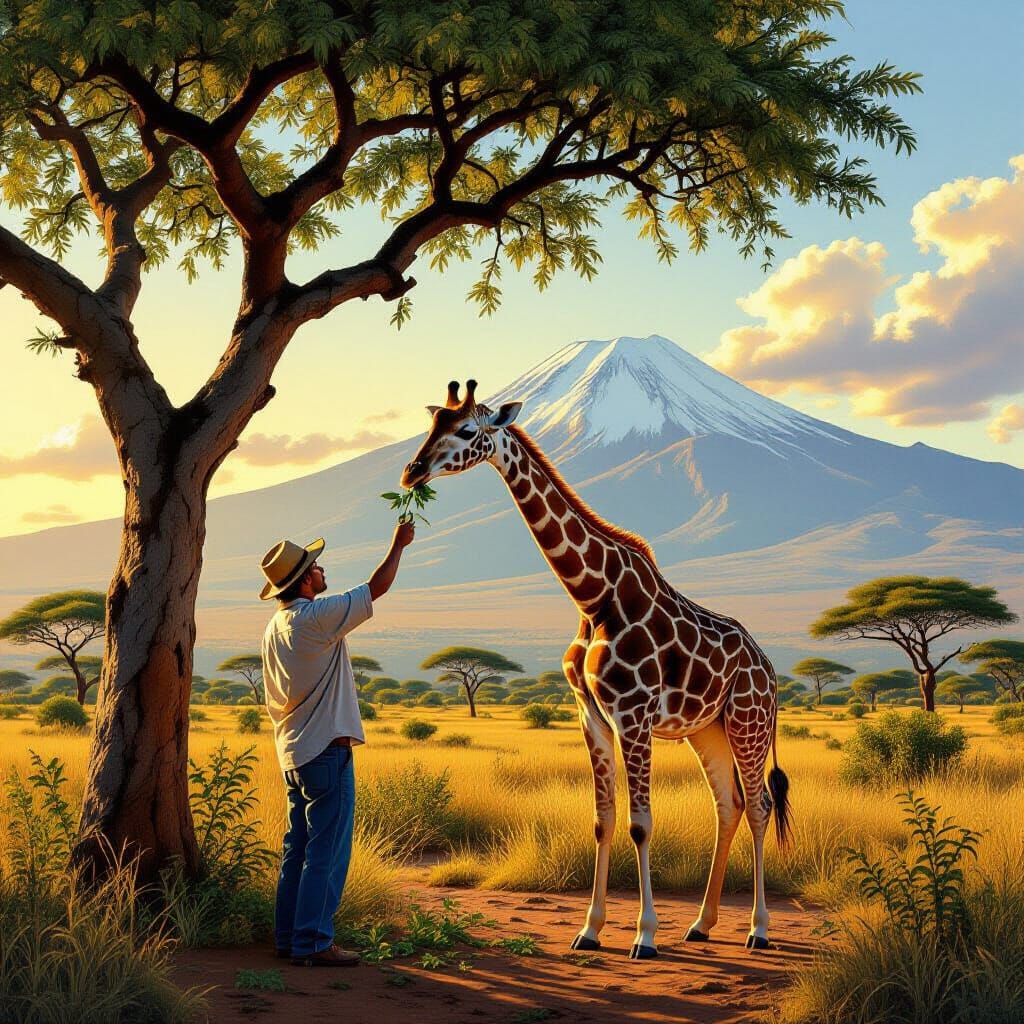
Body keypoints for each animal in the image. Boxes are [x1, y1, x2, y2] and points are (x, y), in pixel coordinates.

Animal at [401, 380, 791, 958]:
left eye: (468, 430)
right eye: (431, 426)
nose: (412, 471)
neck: (594, 598)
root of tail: (770, 669)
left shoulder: (634, 713)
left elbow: (640, 824)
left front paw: (644, 936)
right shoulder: (591, 714)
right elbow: (603, 821)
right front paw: (590, 930)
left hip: (749, 722)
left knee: (761, 805)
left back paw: (758, 930)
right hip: (708, 728)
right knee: (729, 804)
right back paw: (702, 924)